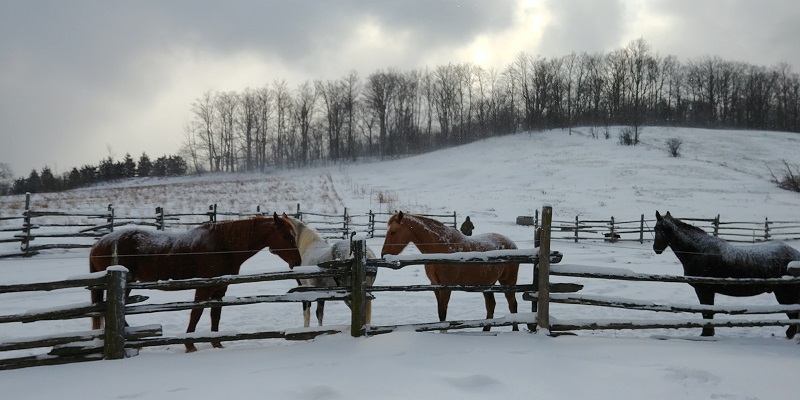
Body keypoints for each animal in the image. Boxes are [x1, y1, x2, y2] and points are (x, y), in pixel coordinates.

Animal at [89, 213, 301, 352]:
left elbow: (215, 315)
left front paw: (217, 343)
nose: (298, 262)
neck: (223, 246)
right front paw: (190, 344)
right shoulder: (204, 287)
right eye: (286, 236)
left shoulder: (220, 288)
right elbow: (196, 313)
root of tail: (98, 244)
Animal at [381, 211, 520, 331]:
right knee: (491, 305)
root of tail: (512, 244)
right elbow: (440, 312)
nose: (383, 255)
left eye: (393, 232)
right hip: (487, 284)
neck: (441, 247)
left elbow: (443, 313)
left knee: (512, 304)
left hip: (508, 281)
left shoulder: (446, 286)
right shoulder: (435, 285)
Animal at [653, 211, 800, 338]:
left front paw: (706, 334)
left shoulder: (704, 290)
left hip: (785, 295)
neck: (699, 251)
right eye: (655, 228)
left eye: (665, 229)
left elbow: (707, 313)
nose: (656, 249)